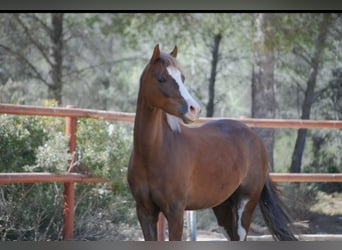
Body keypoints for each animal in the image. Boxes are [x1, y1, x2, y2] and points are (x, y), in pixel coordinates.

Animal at [127, 44, 298, 240]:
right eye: (161, 78)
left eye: (182, 78)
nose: (194, 109)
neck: (153, 153)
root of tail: (254, 138)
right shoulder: (145, 212)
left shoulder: (175, 212)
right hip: (222, 207)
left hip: (245, 203)